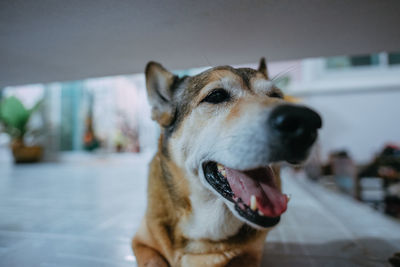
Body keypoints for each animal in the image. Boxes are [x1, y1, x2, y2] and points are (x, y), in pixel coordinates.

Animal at [133, 59, 320, 267]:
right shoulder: (141, 242)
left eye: (277, 96)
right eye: (216, 95)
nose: (306, 122)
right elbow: (154, 261)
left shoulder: (251, 255)